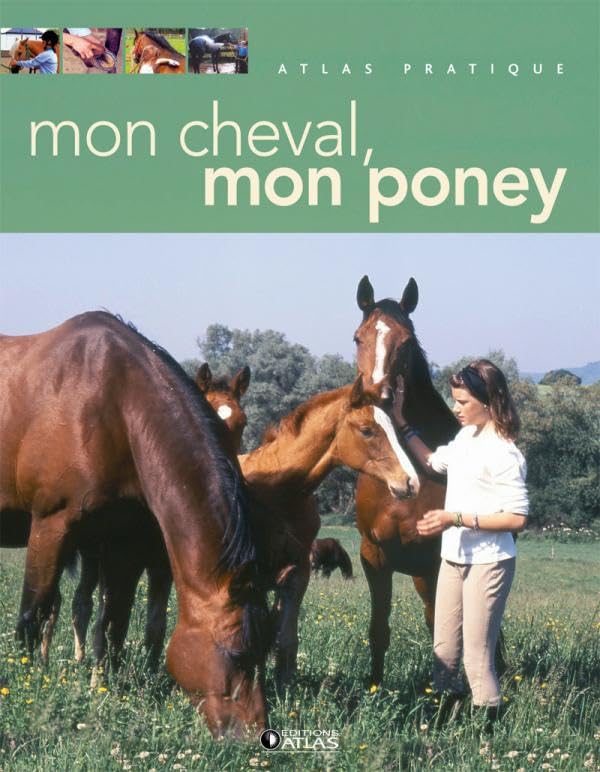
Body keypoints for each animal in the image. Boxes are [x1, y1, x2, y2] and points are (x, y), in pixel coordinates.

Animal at [0, 313, 268, 736]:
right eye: (237, 653)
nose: (259, 733)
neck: (111, 401)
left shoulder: (122, 543)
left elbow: (114, 624)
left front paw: (105, 688)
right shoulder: (49, 526)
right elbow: (34, 610)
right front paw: (28, 683)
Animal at [239, 376, 415, 692]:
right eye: (367, 430)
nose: (409, 482)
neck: (277, 493)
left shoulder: (297, 574)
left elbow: (286, 639)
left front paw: (284, 691)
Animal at [353, 275, 460, 685]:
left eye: (407, 341)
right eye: (359, 338)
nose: (376, 395)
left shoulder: (435, 561)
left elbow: (441, 630)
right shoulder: (374, 556)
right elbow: (377, 629)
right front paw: (374, 687)